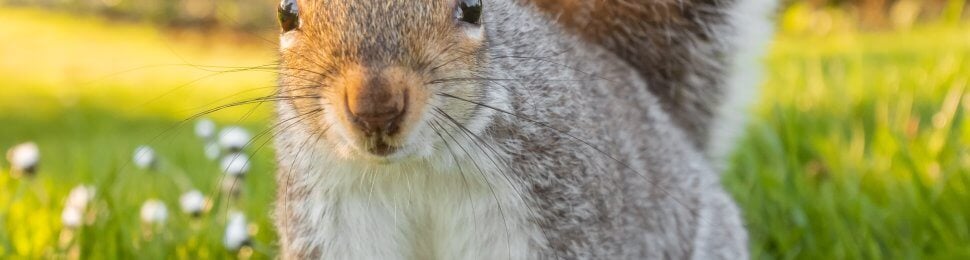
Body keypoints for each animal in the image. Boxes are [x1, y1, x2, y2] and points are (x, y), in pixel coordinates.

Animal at [270, 0, 772, 258]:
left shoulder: (560, 206)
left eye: (473, 7)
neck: (415, 167)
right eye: (286, 12)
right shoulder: (330, 211)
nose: (375, 109)